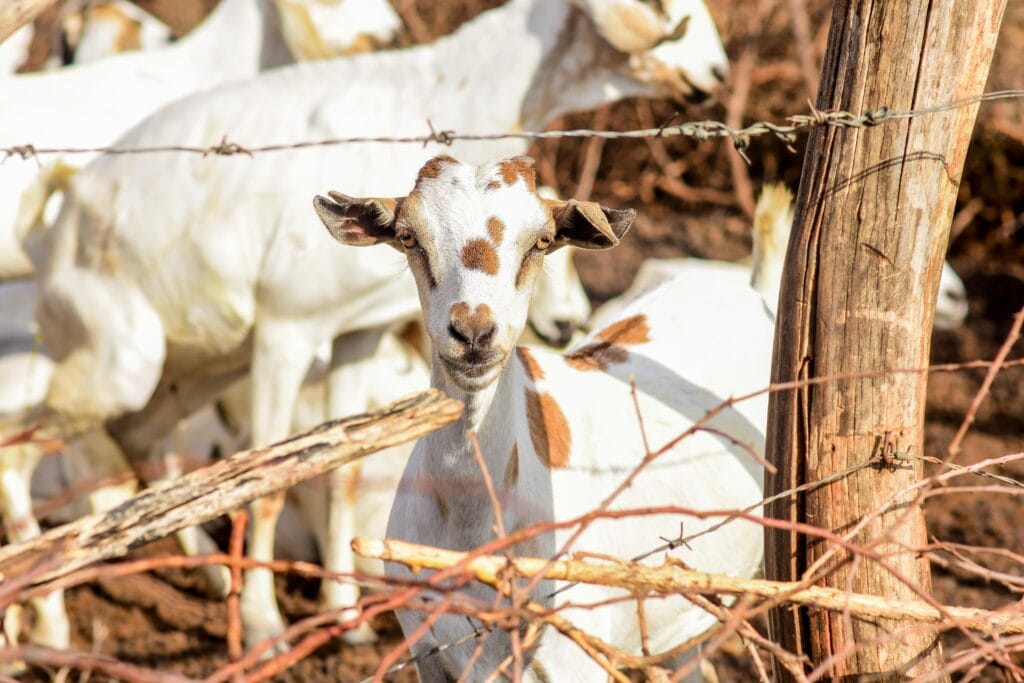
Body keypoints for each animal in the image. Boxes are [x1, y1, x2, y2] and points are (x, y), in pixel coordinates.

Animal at [315, 152, 770, 679]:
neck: (472, 529)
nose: (473, 332)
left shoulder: (574, 658)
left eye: (542, 240)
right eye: (409, 237)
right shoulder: (426, 650)